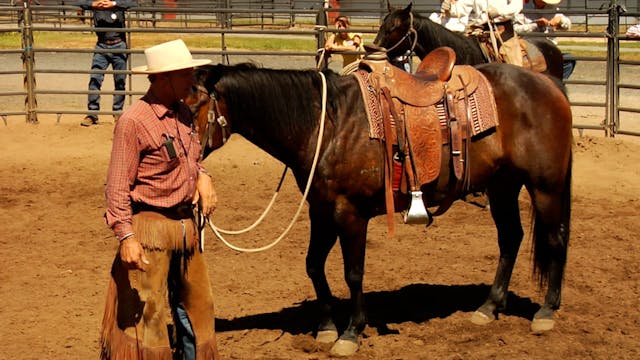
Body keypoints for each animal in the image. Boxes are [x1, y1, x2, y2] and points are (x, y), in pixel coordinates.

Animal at [192, 60, 572, 356]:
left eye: (193, 105)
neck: (327, 125)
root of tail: (547, 83)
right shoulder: (320, 210)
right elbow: (313, 265)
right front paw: (327, 326)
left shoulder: (350, 213)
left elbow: (353, 272)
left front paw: (351, 332)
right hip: (503, 186)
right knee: (510, 238)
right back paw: (489, 307)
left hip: (545, 187)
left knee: (555, 240)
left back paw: (546, 312)